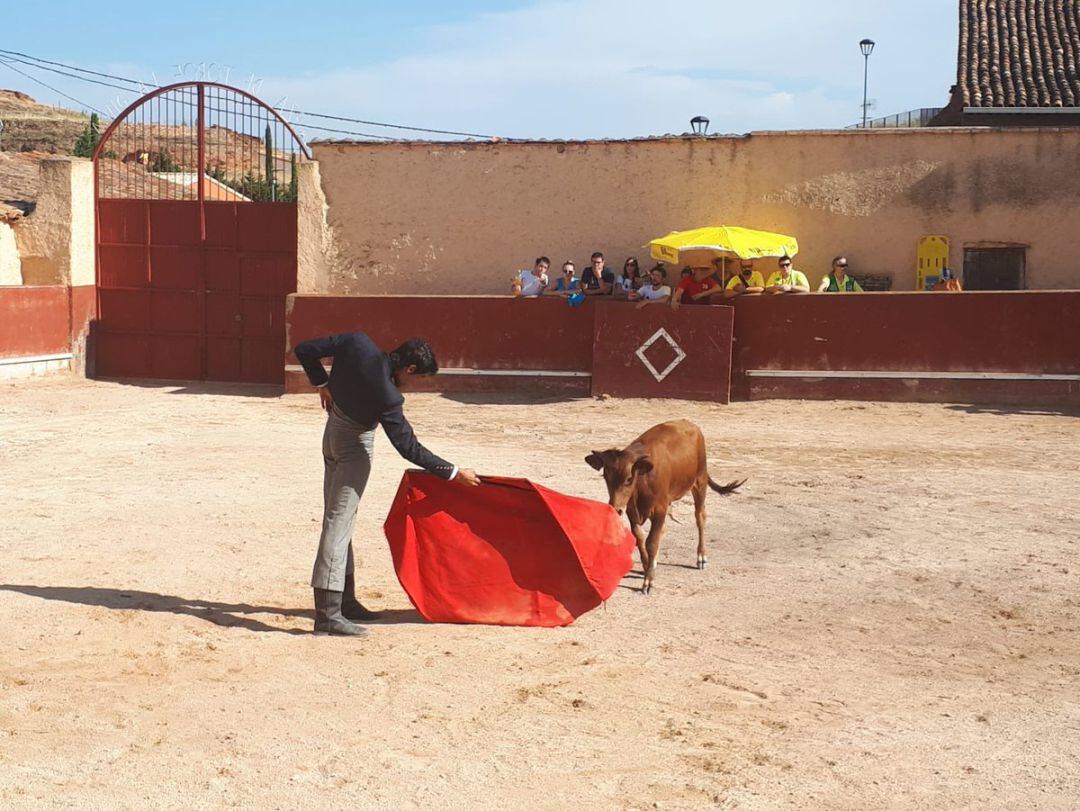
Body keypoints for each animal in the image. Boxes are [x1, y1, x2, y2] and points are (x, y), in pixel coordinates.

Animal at [587, 421, 747, 591]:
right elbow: (639, 537)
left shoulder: (659, 508)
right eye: (605, 476)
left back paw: (701, 557)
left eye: (629, 479)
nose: (615, 508)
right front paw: (647, 565)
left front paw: (648, 580)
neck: (643, 479)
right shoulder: (631, 509)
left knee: (700, 517)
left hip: (700, 481)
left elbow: (651, 542)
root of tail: (690, 424)